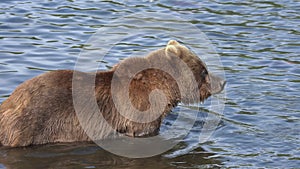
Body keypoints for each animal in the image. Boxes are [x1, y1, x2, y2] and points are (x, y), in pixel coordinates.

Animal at [0, 39, 225, 147]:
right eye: (204, 71)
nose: (223, 81)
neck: (165, 89)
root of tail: (10, 101)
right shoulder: (140, 111)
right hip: (32, 125)